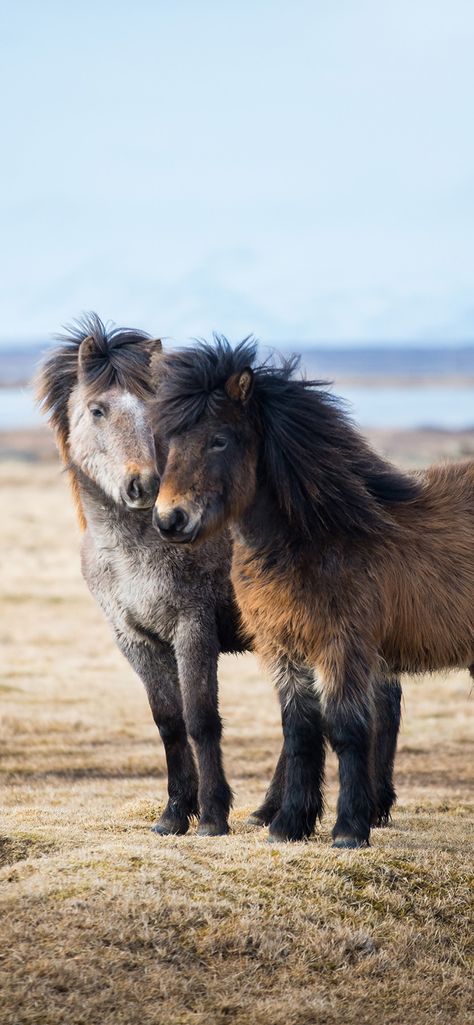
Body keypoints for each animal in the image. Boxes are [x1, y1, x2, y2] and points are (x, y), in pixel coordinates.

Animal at [153, 336, 471, 848]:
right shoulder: (285, 647)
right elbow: (300, 730)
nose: (170, 520)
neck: (320, 536)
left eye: (220, 439)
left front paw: (349, 830)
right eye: (171, 440)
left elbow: (345, 729)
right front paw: (289, 825)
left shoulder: (343, 646)